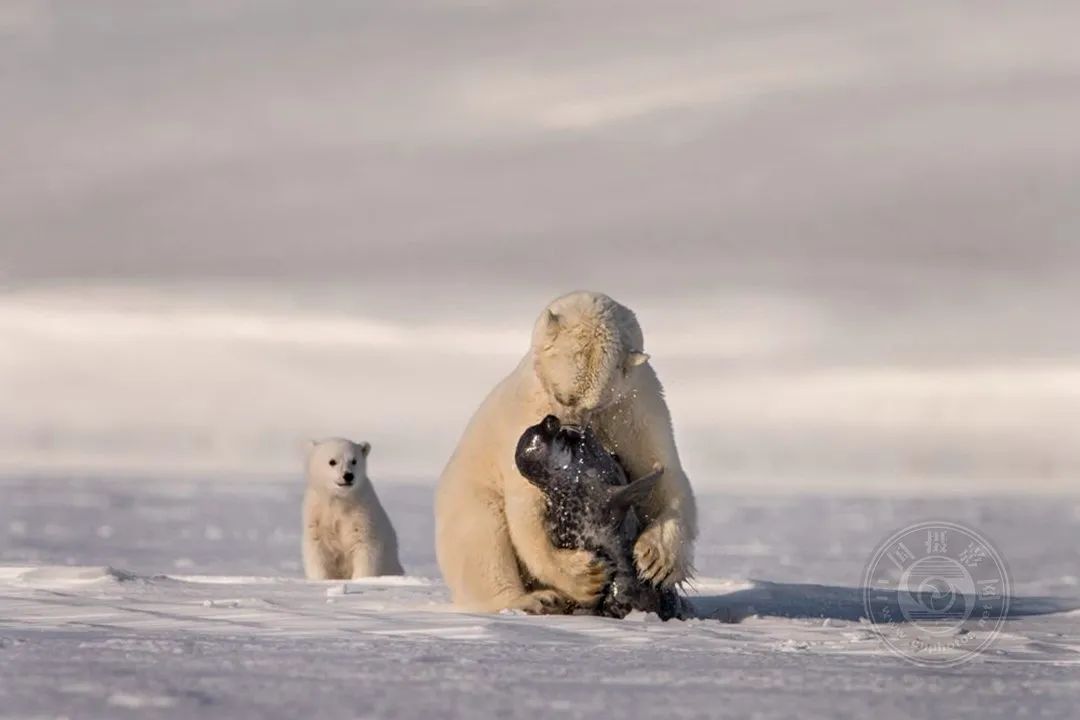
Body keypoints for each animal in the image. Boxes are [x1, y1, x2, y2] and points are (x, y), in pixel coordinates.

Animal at [434, 289, 695, 613]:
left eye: (595, 403)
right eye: (562, 396)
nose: (569, 429)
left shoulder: (635, 405)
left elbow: (662, 470)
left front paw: (657, 559)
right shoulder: (529, 411)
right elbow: (527, 509)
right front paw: (585, 577)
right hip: (467, 494)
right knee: (482, 538)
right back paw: (534, 599)